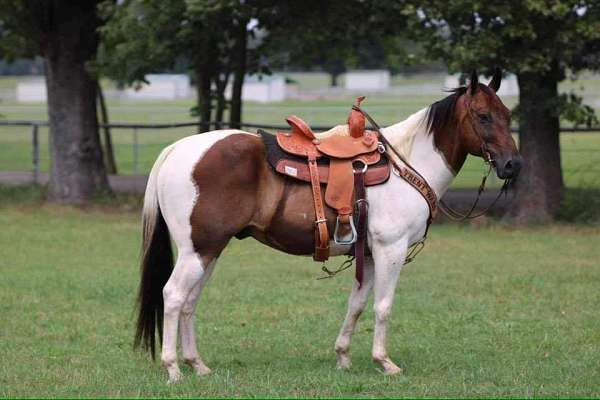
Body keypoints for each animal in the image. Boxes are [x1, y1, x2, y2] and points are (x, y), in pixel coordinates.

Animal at [135, 70, 520, 382]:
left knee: (190, 301)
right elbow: (383, 306)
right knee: (173, 296)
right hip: (197, 250)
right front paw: (384, 362)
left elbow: (357, 304)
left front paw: (343, 357)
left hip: (210, 250)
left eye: (507, 115)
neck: (407, 165)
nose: (512, 165)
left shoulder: (368, 254)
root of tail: (177, 149)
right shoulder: (390, 250)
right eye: (483, 116)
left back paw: (197, 365)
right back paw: (172, 368)